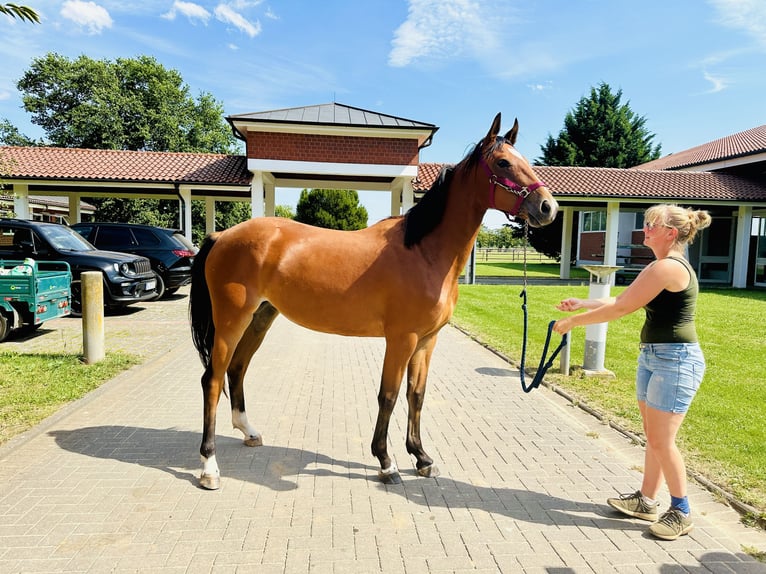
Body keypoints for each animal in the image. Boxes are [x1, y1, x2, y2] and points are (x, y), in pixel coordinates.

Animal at [189, 113, 559, 490]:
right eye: (503, 163)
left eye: (524, 160)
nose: (548, 207)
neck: (424, 252)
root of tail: (222, 236)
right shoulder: (401, 339)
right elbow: (389, 395)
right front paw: (386, 462)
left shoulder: (427, 341)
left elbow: (416, 395)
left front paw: (422, 458)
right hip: (231, 321)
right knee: (212, 380)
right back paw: (209, 467)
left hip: (260, 318)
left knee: (237, 368)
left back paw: (249, 432)